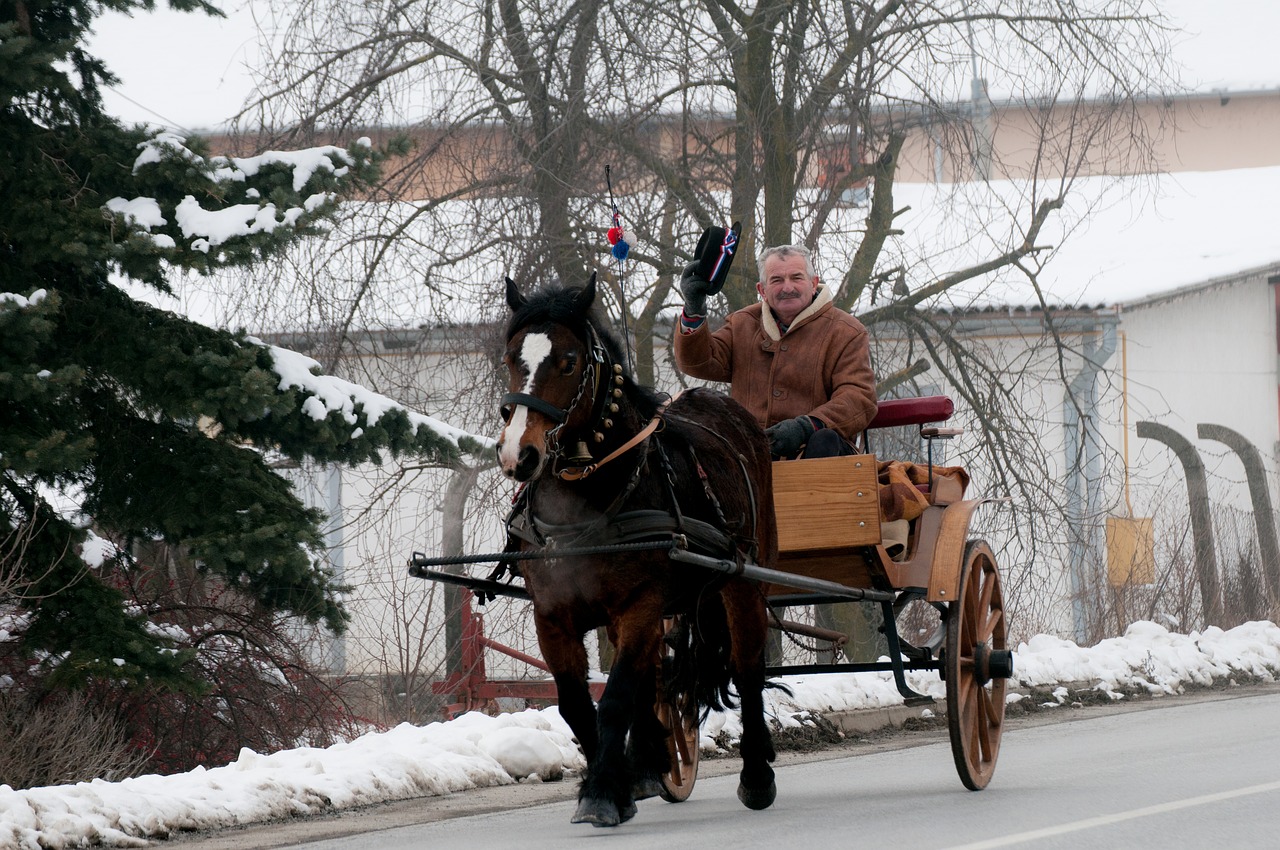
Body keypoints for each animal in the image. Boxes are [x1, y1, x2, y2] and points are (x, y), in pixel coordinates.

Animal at [494, 275, 778, 824]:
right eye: (511, 358)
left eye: (569, 361)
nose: (520, 454)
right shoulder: (553, 613)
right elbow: (577, 706)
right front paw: (618, 782)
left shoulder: (640, 604)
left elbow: (617, 697)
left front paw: (603, 792)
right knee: (657, 678)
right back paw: (651, 765)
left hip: (743, 583)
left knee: (748, 669)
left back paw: (756, 776)